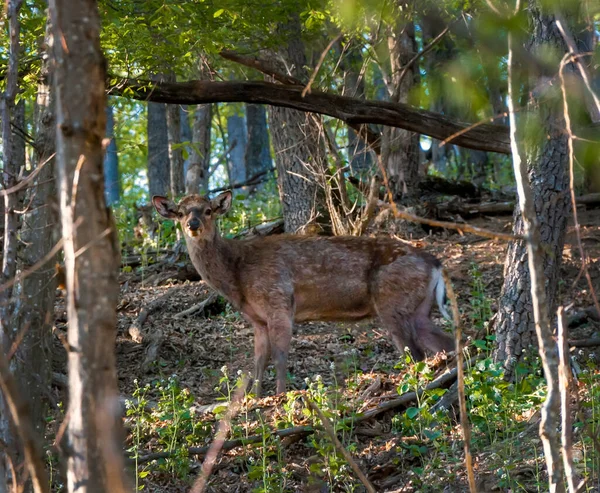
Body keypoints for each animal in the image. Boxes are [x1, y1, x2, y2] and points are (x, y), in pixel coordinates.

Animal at [152, 190, 452, 394]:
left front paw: (280, 395)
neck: (237, 275)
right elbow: (258, 361)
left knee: (416, 353)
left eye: (208, 210)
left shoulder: (278, 301)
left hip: (393, 303)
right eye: (181, 212)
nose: (192, 225)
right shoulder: (257, 320)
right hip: (418, 308)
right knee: (443, 343)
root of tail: (436, 264)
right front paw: (254, 398)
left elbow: (280, 356)